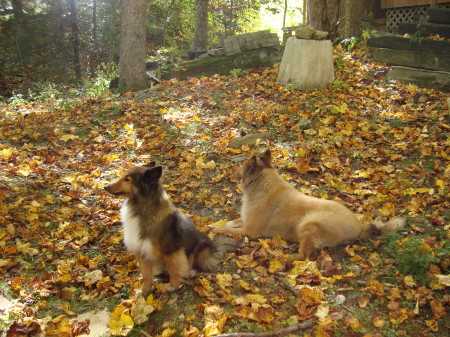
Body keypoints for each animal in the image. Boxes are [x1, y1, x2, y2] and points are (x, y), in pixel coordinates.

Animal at [213, 151, 406, 258]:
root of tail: (359, 227)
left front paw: (214, 229)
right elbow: (231, 222)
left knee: (303, 256)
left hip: (309, 222)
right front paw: (218, 223)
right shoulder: (245, 220)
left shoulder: (250, 231)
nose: (232, 170)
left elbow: (226, 230)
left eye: (243, 165)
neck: (264, 185)